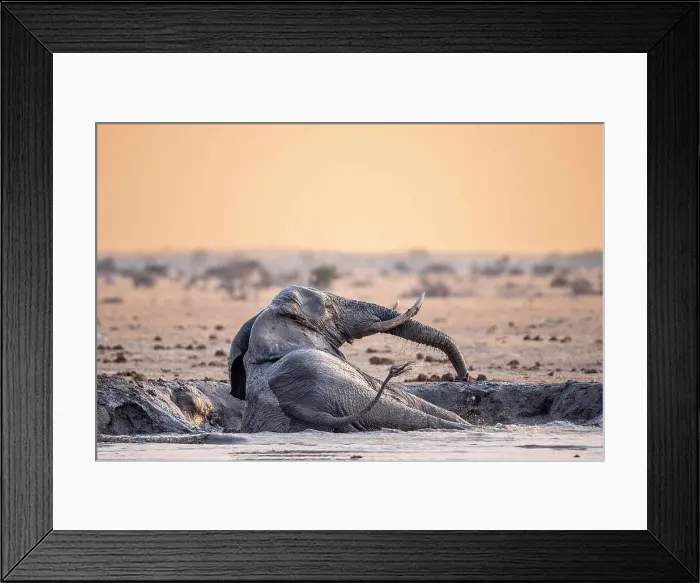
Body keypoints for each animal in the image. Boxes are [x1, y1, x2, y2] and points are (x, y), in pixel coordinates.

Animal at [228, 285, 471, 433]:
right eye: (327, 307)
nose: (463, 376)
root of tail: (303, 407)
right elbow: (407, 398)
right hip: (344, 391)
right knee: (401, 412)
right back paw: (469, 429)